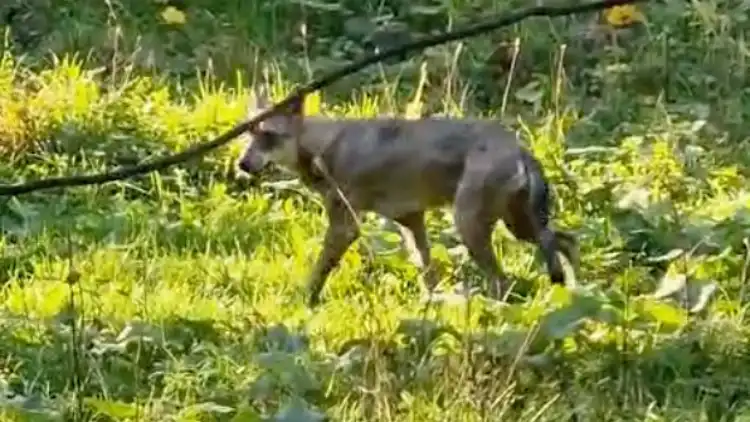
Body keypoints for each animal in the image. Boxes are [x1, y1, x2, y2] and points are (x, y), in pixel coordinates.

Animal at [238, 90, 580, 306]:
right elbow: (428, 277)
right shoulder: (411, 221)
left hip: (475, 227)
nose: (242, 164)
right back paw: (577, 295)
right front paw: (431, 307)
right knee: (566, 242)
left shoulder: (346, 226)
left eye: (268, 136)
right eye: (249, 135)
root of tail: (519, 148)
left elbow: (318, 272)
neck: (322, 147)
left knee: (504, 281)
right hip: (519, 227)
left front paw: (303, 303)